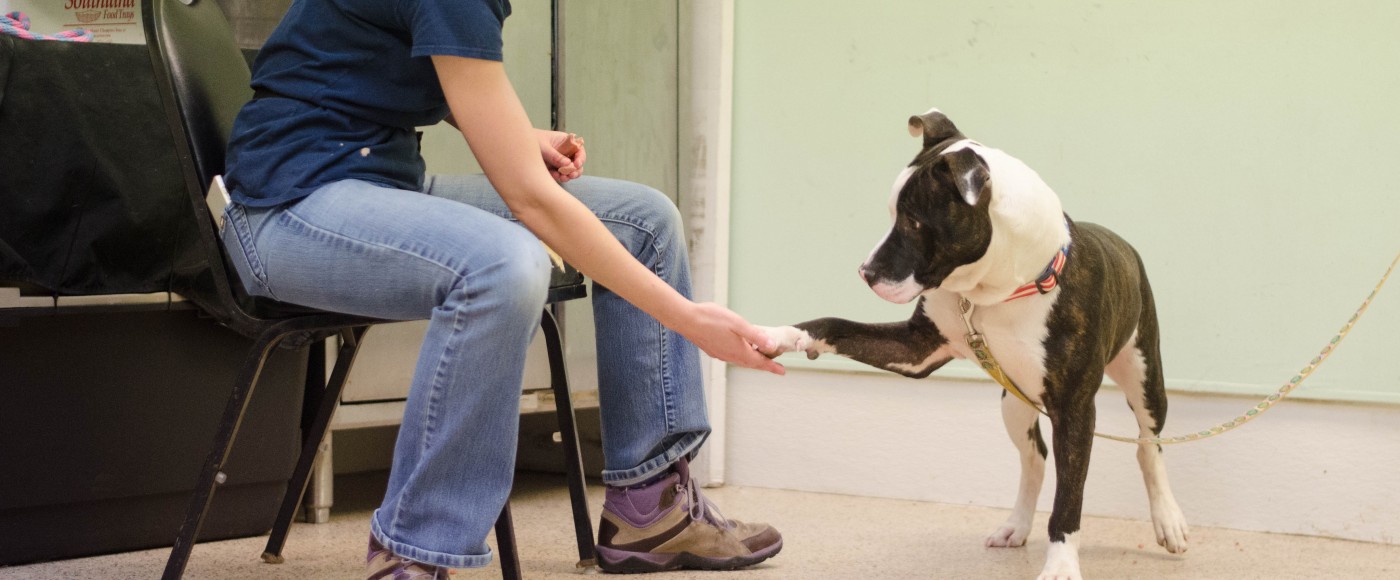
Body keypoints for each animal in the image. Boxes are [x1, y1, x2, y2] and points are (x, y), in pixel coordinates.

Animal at [767, 108, 1192, 580]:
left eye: (914, 221)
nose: (866, 272)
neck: (998, 290)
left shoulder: (1076, 409)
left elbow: (1069, 500)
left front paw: (1061, 563)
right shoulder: (917, 349)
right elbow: (836, 325)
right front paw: (783, 334)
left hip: (1144, 376)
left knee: (1148, 444)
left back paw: (1168, 520)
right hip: (1014, 402)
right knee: (1035, 459)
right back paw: (1016, 526)